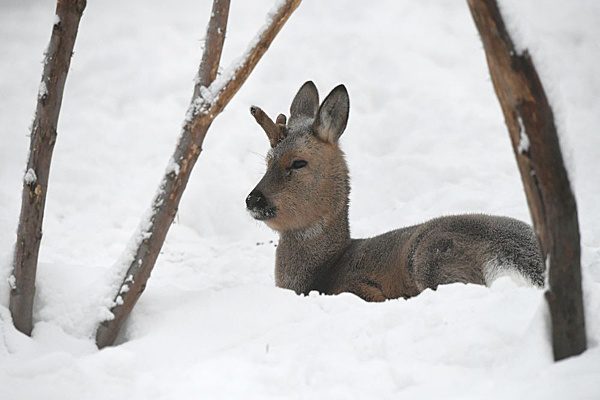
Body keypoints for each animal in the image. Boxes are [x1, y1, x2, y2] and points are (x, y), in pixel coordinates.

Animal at [244, 81, 544, 300]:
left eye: (298, 162)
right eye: (267, 160)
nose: (252, 199)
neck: (323, 270)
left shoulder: (362, 287)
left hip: (432, 255)